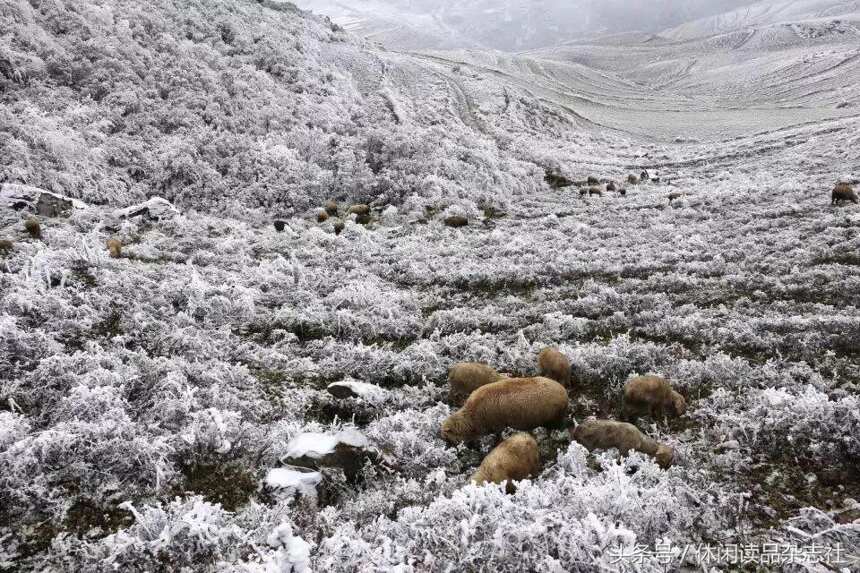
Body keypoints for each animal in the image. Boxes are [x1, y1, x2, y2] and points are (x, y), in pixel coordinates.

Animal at [440, 378, 568, 444]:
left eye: (447, 436)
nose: (446, 445)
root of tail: (564, 391)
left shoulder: (498, 425)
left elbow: (498, 436)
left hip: (554, 417)